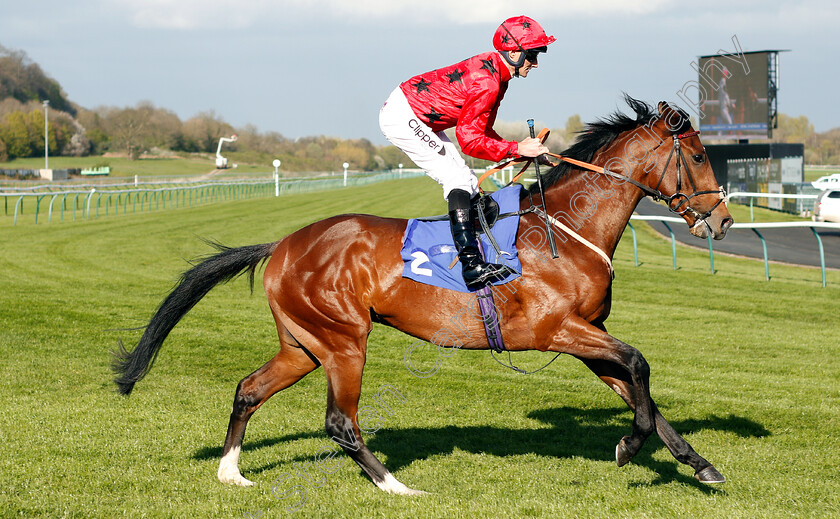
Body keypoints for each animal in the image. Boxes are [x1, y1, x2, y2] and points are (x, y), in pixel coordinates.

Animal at [113, 97, 736, 496]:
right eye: (699, 156)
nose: (724, 219)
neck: (566, 228)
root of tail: (284, 243)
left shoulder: (587, 335)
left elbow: (640, 391)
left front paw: (698, 464)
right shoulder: (555, 330)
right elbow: (639, 365)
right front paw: (630, 447)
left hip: (304, 344)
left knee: (248, 389)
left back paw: (231, 471)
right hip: (344, 342)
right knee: (340, 422)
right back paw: (395, 486)